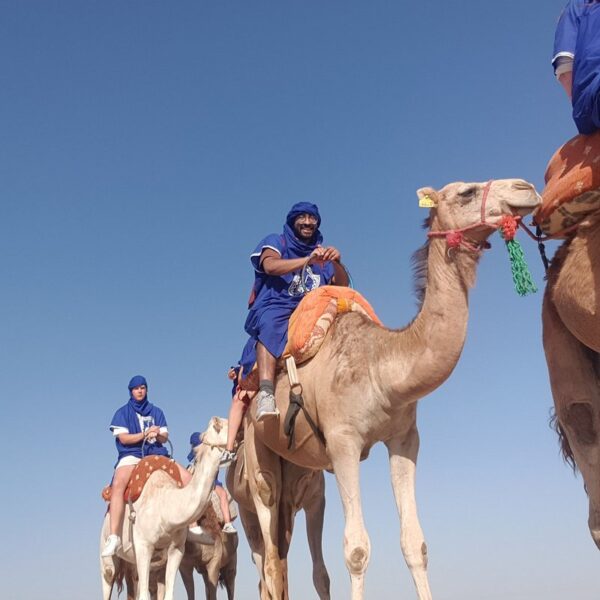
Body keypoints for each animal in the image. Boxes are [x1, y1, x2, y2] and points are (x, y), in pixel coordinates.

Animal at [101, 418, 227, 600]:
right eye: (221, 426)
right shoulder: (143, 546)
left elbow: (168, 594)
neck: (165, 509)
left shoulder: (176, 549)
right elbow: (144, 595)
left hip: (135, 562)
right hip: (108, 557)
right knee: (108, 576)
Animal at [241, 179, 540, 600]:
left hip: (298, 467)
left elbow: (415, 543)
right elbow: (356, 550)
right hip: (257, 454)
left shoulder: (404, 437)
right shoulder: (343, 441)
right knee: (268, 551)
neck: (382, 367)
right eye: (466, 191)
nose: (526, 188)